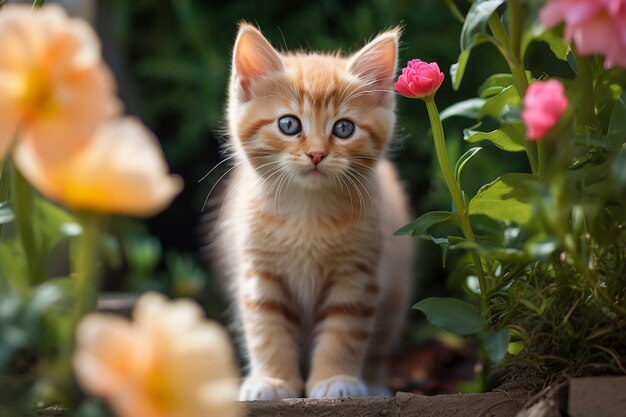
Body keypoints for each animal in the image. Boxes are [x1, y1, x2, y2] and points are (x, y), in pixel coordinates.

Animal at [212, 23, 412, 400]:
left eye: (344, 128)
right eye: (289, 125)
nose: (317, 154)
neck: (307, 211)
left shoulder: (357, 274)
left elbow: (345, 331)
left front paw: (335, 380)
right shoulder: (260, 273)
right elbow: (266, 328)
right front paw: (272, 380)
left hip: (394, 295)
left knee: (381, 344)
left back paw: (375, 383)